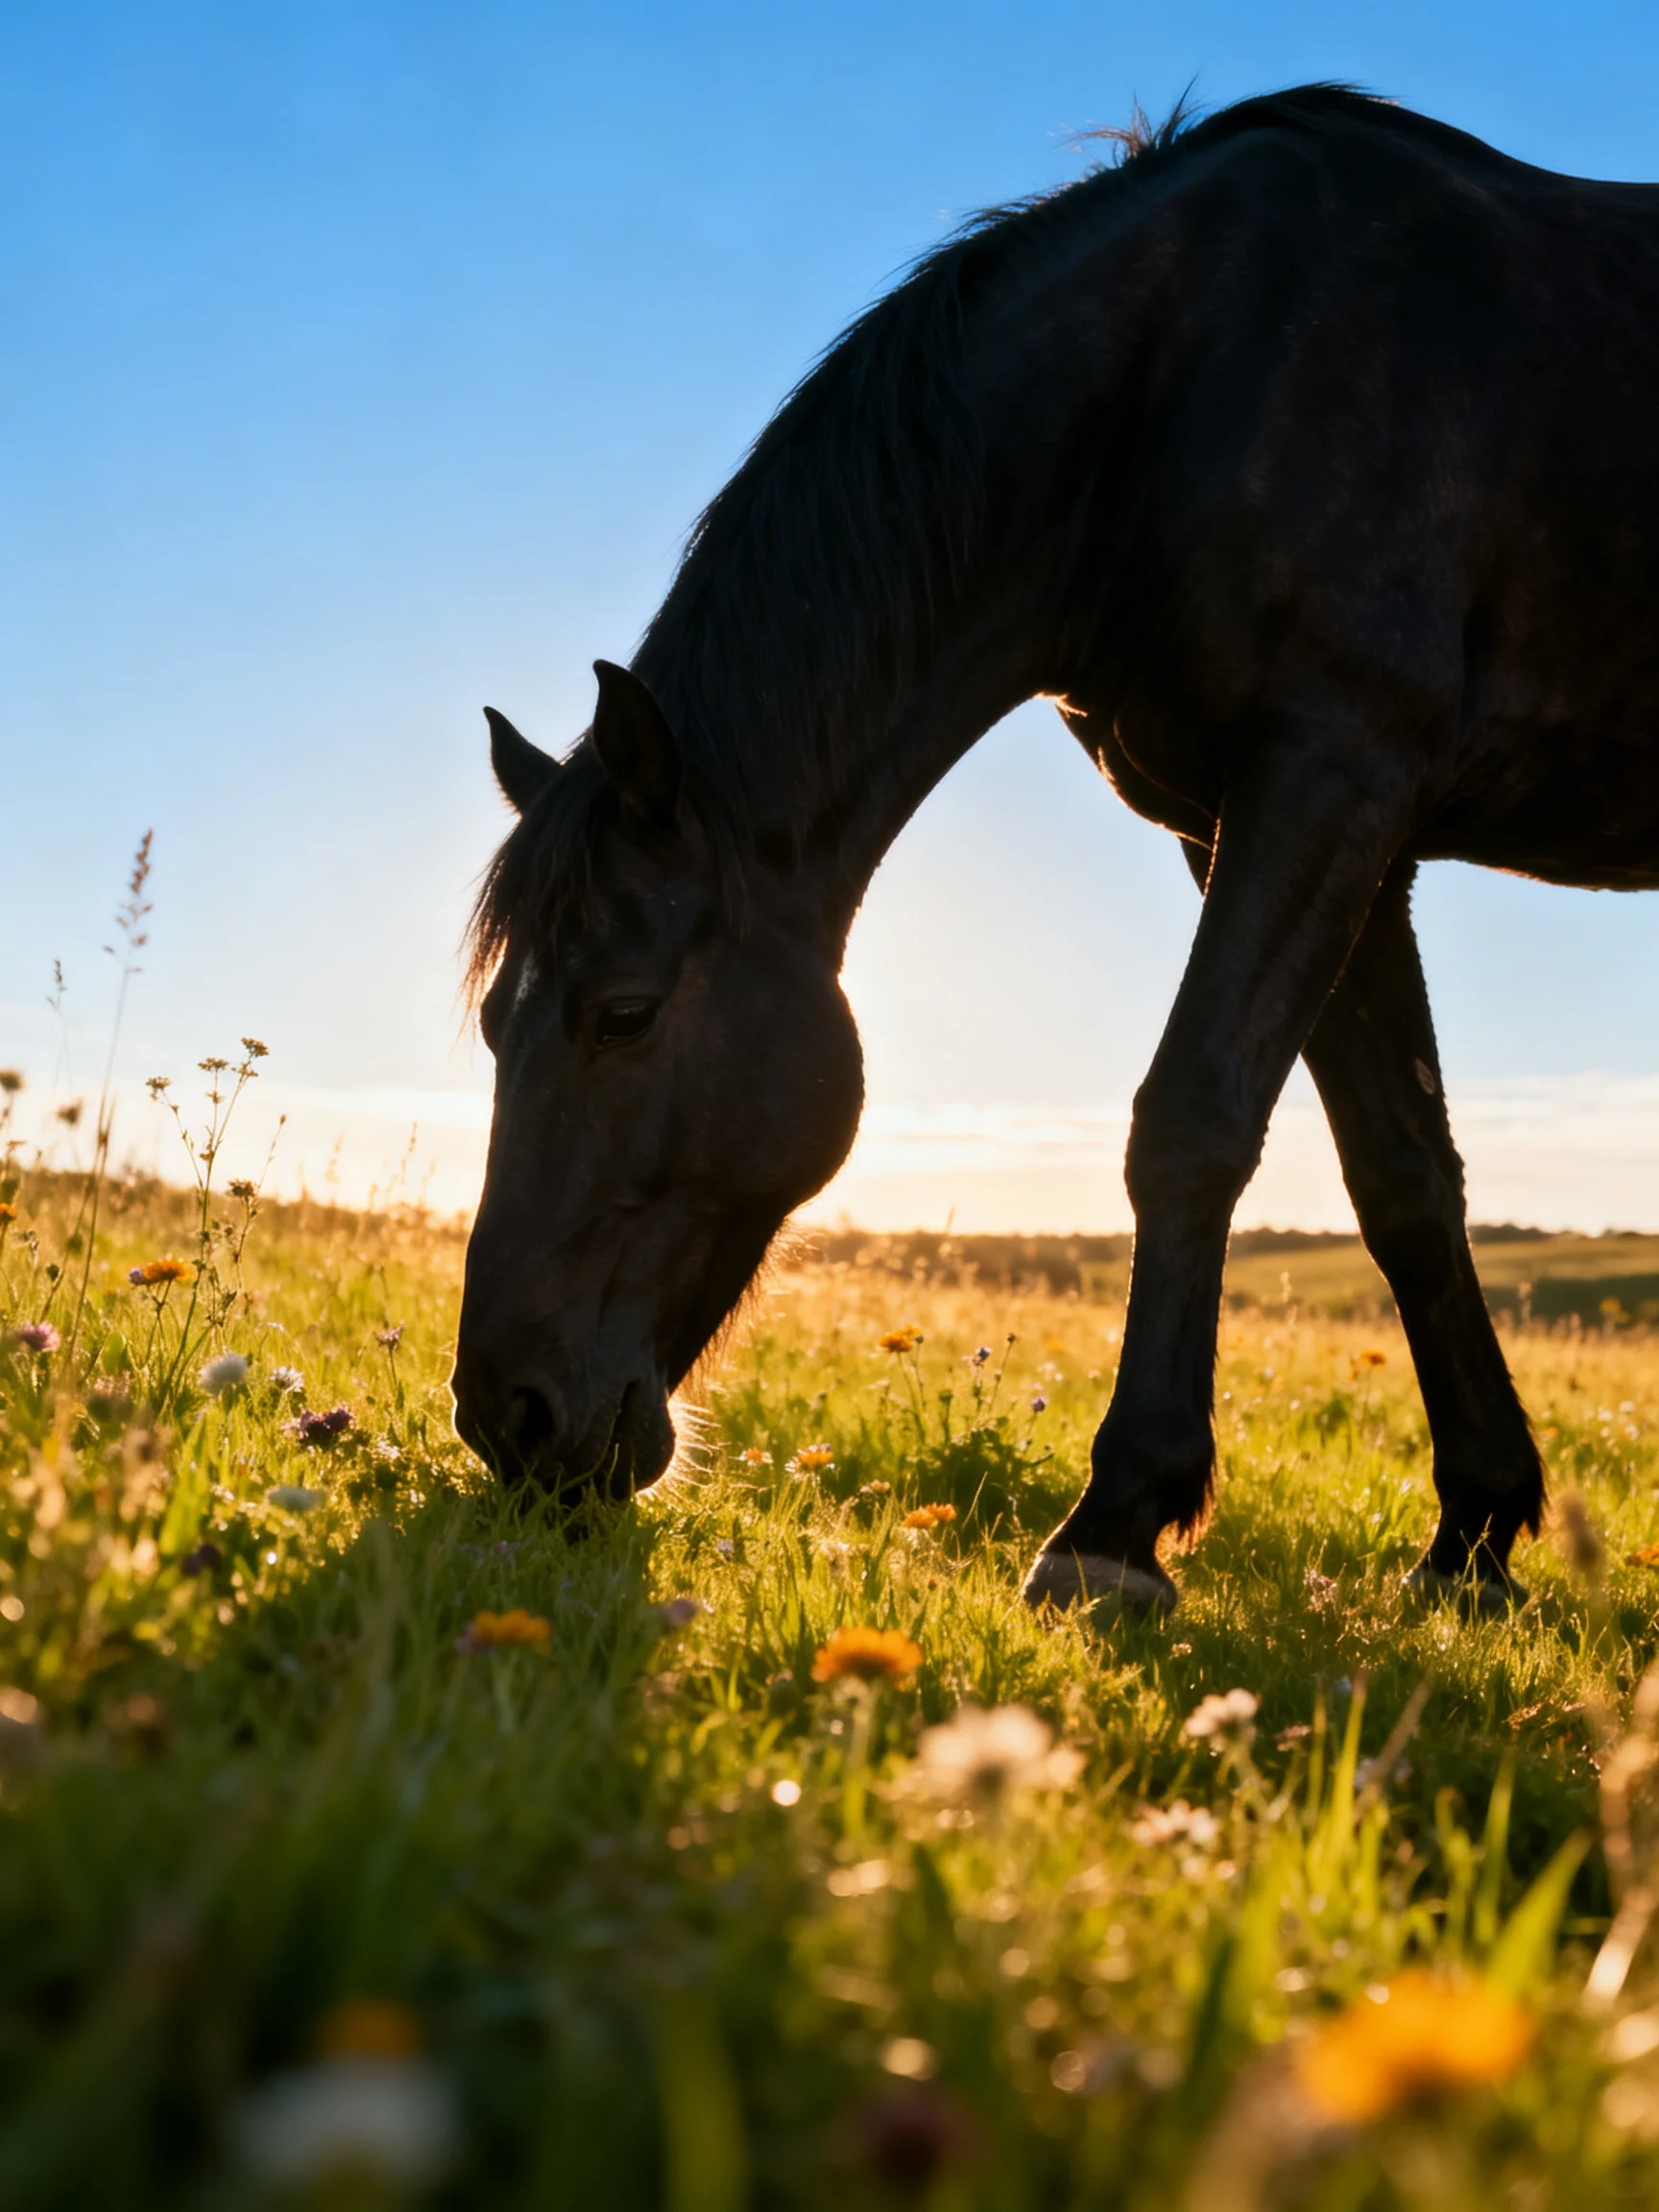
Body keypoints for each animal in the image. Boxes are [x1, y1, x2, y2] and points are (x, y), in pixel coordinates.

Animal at [453, 83, 1659, 1616]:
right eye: (499, 1025)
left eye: (622, 1015)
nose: (508, 1417)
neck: (1190, 373)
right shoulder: (1299, 830)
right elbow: (1403, 1180)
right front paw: (1475, 1534)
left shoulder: (1330, 776)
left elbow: (1191, 1121)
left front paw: (1116, 1521)